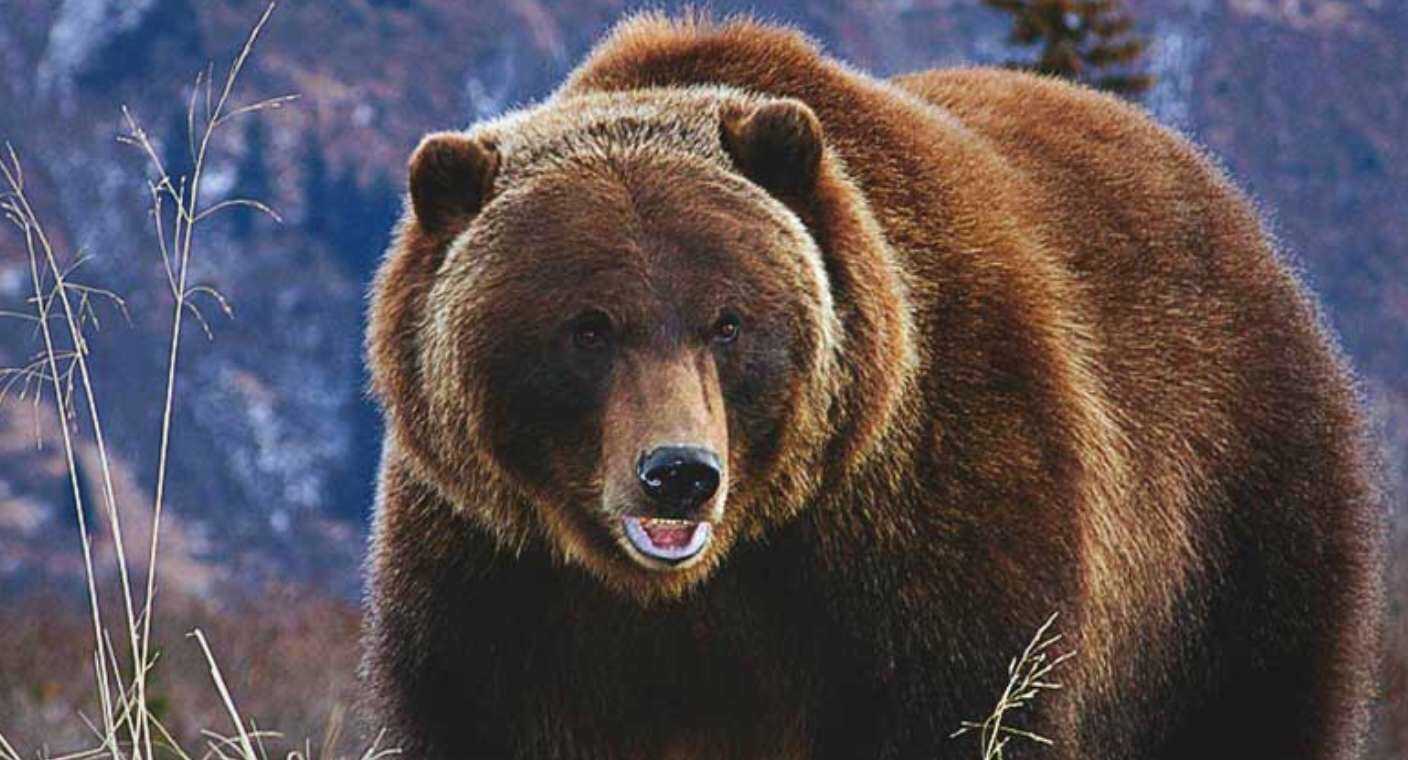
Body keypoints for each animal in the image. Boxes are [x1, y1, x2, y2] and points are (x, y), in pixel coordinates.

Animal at [361, 13, 1384, 759]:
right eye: (588, 326)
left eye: (728, 321)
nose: (679, 474)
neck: (697, 586)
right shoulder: (498, 584)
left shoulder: (932, 538)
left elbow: (971, 708)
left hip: (1230, 535)